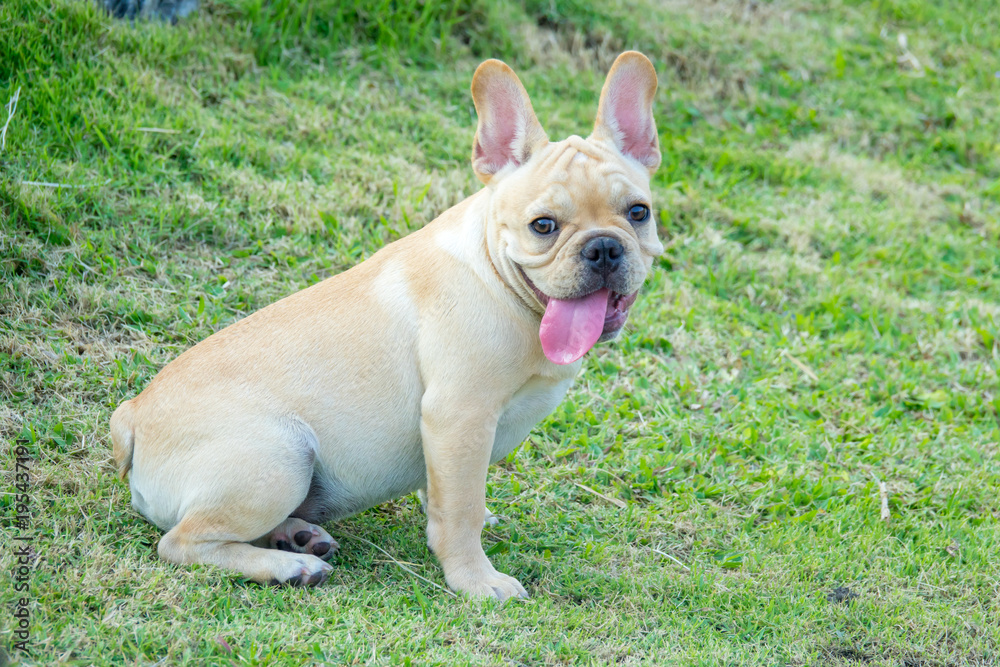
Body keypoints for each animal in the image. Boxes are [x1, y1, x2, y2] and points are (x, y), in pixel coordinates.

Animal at [111, 52, 664, 600]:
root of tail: (132, 416)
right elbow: (458, 512)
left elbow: (445, 492)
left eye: (639, 213)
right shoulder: (459, 416)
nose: (603, 247)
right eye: (543, 226)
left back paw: (298, 536)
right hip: (278, 459)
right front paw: (475, 579)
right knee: (182, 542)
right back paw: (289, 566)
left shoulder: (448, 438)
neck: (501, 279)